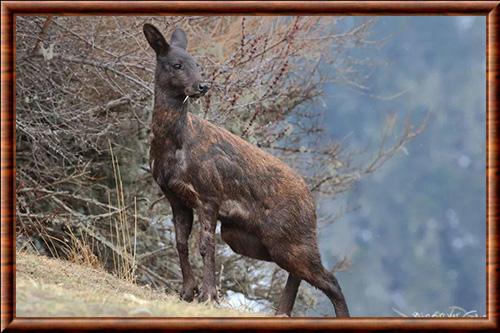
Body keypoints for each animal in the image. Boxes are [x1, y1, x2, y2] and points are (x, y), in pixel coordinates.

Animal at [143, 23, 350, 316]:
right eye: (177, 64)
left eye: (198, 64)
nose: (202, 86)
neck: (175, 144)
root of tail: (311, 202)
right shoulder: (175, 196)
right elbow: (181, 242)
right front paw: (187, 292)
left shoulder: (209, 193)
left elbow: (205, 245)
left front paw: (209, 295)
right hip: (248, 238)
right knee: (300, 274)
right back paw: (281, 312)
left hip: (291, 237)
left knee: (329, 279)